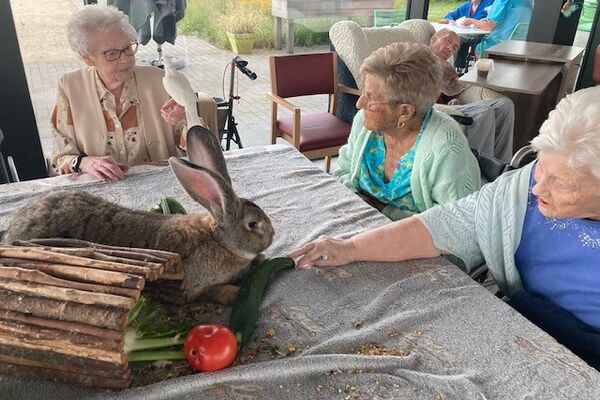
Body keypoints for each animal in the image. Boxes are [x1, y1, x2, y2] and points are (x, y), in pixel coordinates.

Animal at [4, 126, 274, 304]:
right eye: (253, 224)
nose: (272, 235)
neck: (218, 240)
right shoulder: (192, 287)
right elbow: (211, 292)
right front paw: (234, 293)